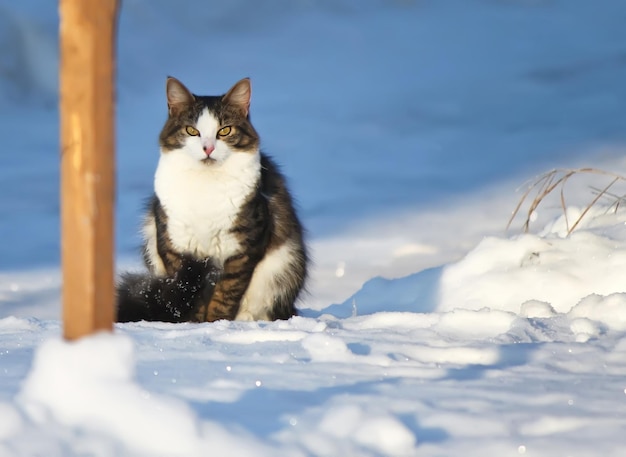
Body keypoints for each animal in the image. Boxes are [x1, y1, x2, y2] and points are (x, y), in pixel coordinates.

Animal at [115, 76, 308, 322]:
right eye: (191, 131)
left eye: (224, 131)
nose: (208, 148)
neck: (205, 185)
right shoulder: (174, 244)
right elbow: (187, 291)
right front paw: (193, 324)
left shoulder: (243, 247)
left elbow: (225, 294)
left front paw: (216, 323)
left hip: (283, 267)